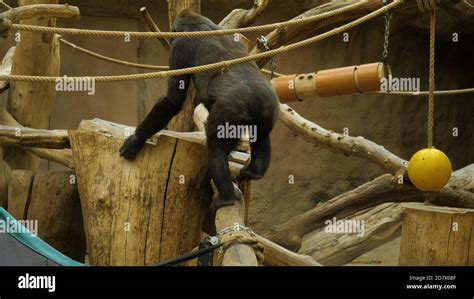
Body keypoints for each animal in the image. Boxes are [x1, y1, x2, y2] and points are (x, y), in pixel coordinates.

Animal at [120, 8, 280, 206]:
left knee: (216, 150)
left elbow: (173, 99)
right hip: (269, 108)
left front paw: (136, 139)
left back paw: (226, 197)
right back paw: (255, 172)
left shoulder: (179, 46)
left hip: (230, 113)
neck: (200, 25)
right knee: (262, 136)